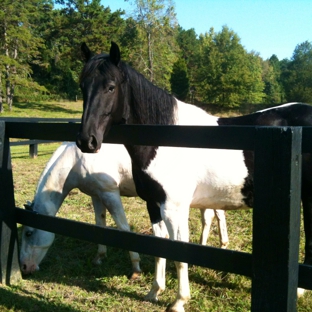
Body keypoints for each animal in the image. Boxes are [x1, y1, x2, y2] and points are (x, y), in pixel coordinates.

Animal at [20, 141, 229, 276]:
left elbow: (124, 228)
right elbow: (100, 225)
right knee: (213, 215)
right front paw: (99, 257)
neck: (76, 159)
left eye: (28, 233)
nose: (24, 268)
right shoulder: (96, 194)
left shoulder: (110, 193)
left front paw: (136, 268)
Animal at [76, 42, 312, 312]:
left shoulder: (174, 208)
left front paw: (179, 301)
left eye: (111, 87)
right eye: (83, 86)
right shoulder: (154, 205)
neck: (166, 140)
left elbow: (179, 254)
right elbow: (159, 247)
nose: (86, 141)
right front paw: (154, 291)